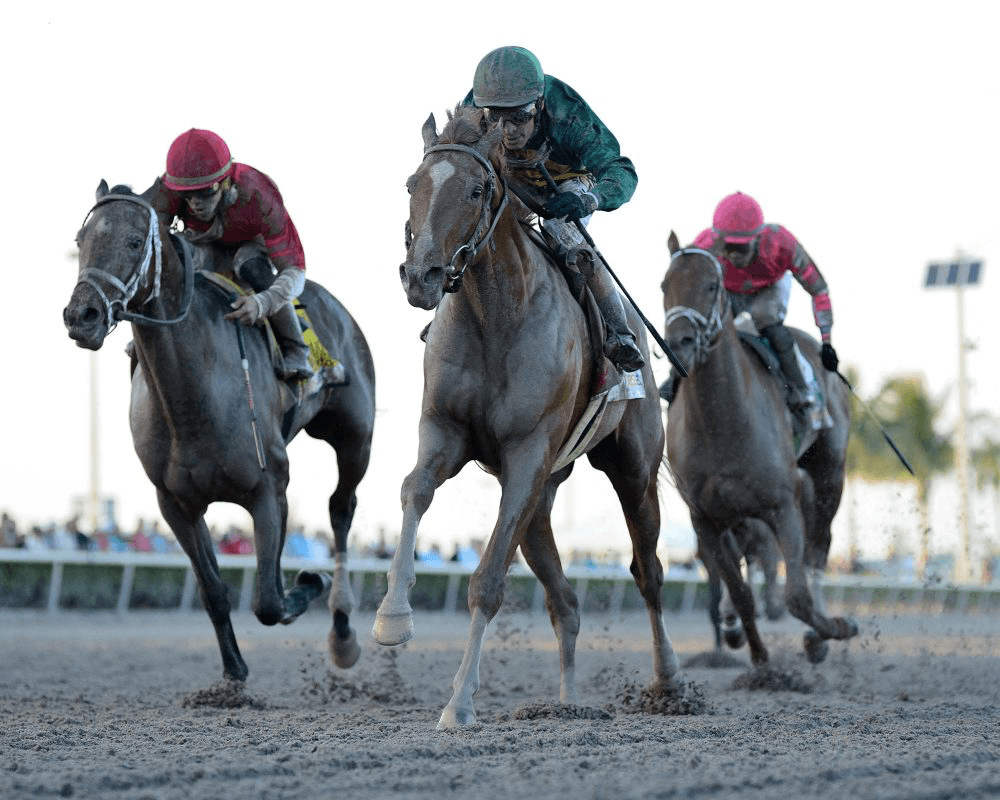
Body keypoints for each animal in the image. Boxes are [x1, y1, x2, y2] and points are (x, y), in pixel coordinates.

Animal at [63, 180, 376, 680]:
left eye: (134, 241)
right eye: (81, 240)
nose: (82, 316)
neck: (193, 399)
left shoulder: (269, 487)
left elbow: (269, 600)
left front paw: (310, 579)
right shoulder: (176, 504)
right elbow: (214, 591)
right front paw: (233, 673)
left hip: (354, 436)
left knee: (341, 508)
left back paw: (343, 633)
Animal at [372, 108, 684, 732]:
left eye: (476, 189)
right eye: (413, 184)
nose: (421, 276)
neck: (496, 315)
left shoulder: (527, 453)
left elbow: (488, 582)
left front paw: (460, 703)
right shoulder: (444, 431)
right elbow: (414, 489)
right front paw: (392, 617)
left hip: (631, 471)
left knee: (649, 572)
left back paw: (667, 681)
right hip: (543, 498)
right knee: (564, 599)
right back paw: (565, 703)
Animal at [660, 230, 856, 664]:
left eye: (710, 285)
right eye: (665, 285)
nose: (679, 343)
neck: (722, 422)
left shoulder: (783, 504)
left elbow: (796, 596)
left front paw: (833, 628)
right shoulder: (705, 520)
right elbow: (740, 592)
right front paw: (759, 658)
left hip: (829, 474)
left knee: (820, 546)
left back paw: (822, 632)